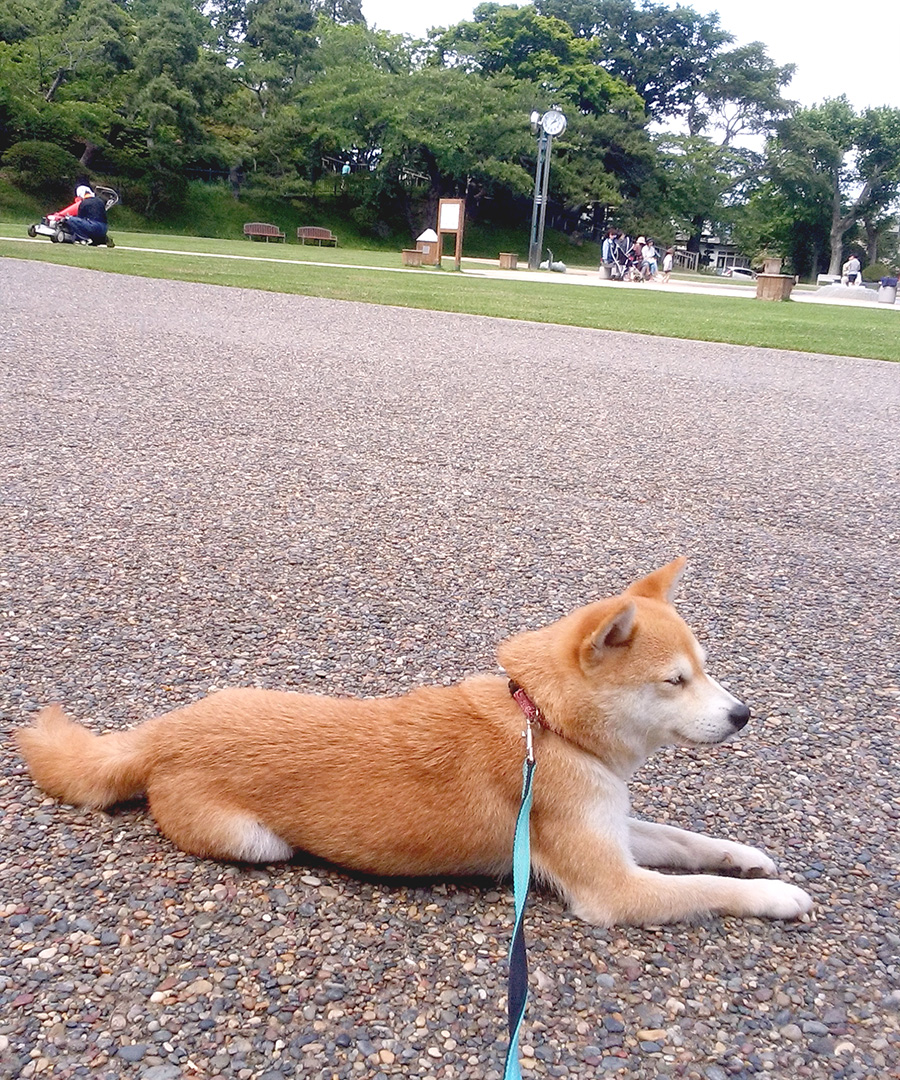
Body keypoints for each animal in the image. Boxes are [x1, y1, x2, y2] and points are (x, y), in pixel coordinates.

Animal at [15, 561, 812, 924]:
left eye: (705, 668)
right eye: (677, 680)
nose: (743, 714)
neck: (546, 725)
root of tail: (167, 728)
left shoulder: (613, 824)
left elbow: (689, 843)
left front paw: (747, 856)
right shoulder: (612, 887)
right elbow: (704, 889)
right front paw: (777, 896)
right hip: (258, 844)